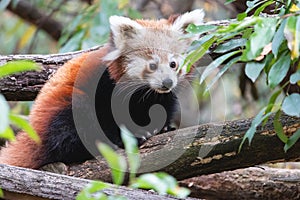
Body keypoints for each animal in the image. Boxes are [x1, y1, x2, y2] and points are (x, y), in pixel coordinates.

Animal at [0, 9, 204, 169]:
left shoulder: (162, 97)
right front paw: (131, 135)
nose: (167, 83)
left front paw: (164, 127)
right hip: (64, 108)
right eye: (152, 65)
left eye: (173, 64)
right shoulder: (105, 86)